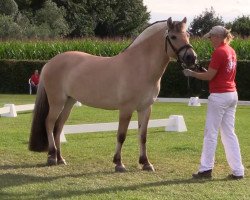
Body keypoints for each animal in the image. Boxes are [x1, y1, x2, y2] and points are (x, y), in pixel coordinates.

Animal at [29, 16, 197, 172]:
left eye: (188, 35)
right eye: (173, 36)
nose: (192, 57)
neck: (139, 66)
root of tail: (50, 63)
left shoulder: (145, 108)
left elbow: (143, 136)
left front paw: (146, 163)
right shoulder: (126, 109)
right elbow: (121, 135)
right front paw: (119, 163)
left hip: (69, 102)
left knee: (58, 127)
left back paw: (60, 158)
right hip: (57, 102)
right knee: (49, 123)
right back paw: (52, 156)